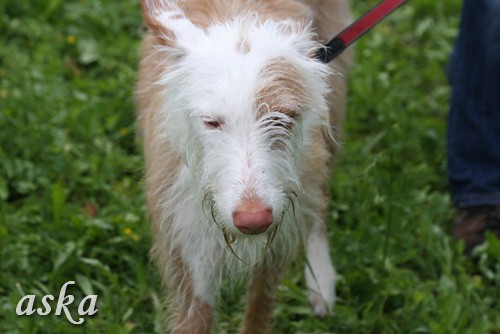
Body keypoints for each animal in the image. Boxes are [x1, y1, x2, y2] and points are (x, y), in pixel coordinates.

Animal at [136, 1, 352, 332]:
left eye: (283, 118)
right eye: (212, 122)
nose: (253, 220)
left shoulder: (276, 246)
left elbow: (258, 312)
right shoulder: (190, 258)